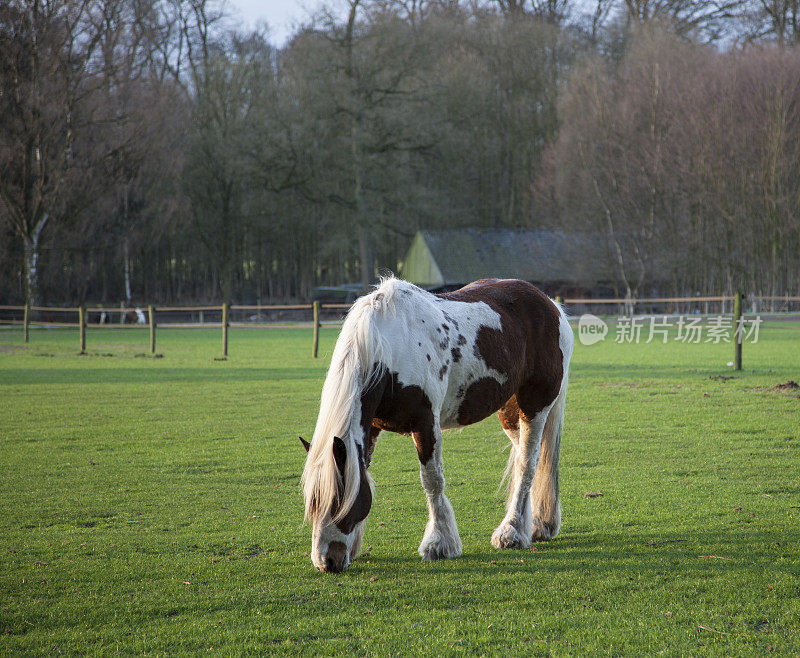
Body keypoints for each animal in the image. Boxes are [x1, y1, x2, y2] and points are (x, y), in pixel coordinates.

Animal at [298, 276, 568, 568]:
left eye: (338, 499)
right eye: (313, 500)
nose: (326, 562)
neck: (387, 345)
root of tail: (551, 305)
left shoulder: (425, 422)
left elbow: (432, 480)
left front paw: (439, 544)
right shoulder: (370, 427)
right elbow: (363, 472)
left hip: (535, 406)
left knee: (528, 463)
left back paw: (512, 532)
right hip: (509, 412)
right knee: (524, 461)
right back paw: (536, 525)